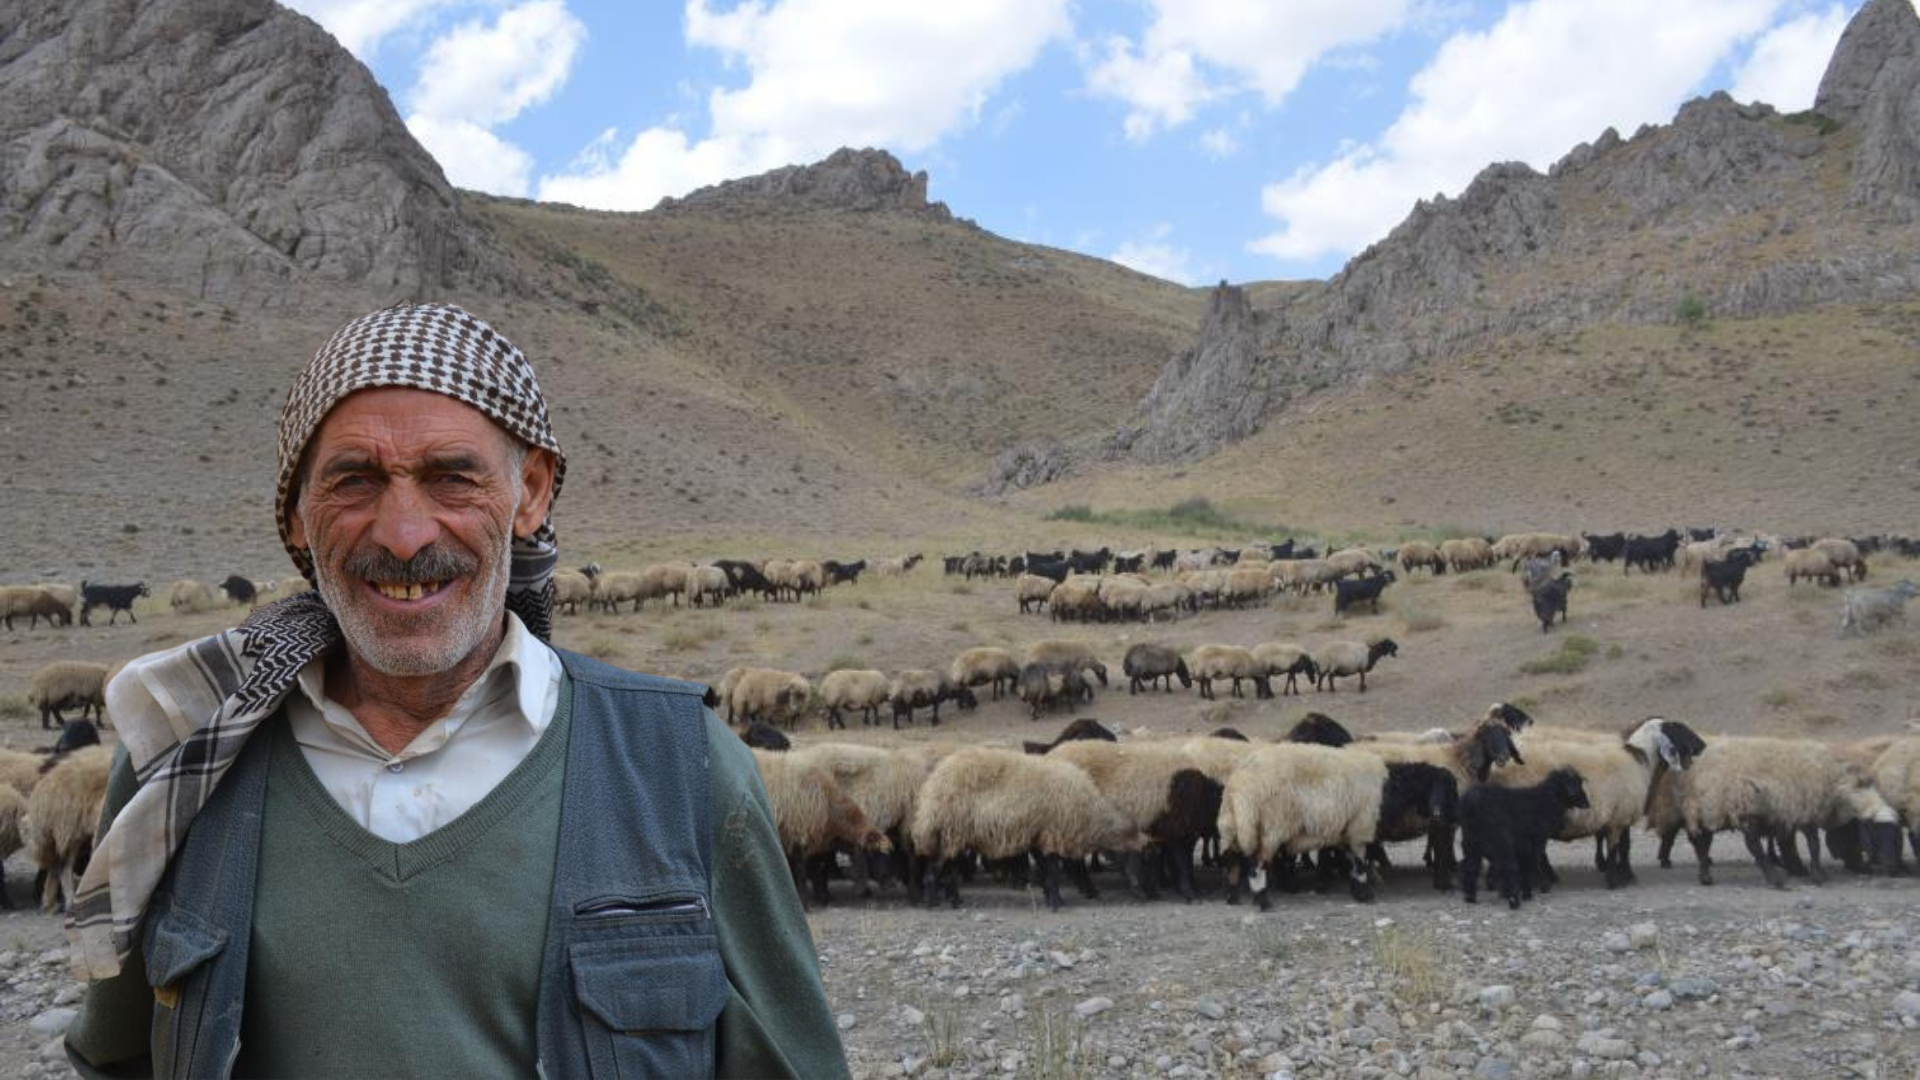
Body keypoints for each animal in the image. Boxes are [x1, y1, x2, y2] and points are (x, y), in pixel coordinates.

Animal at [752, 745, 894, 903]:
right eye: (875, 853)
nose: (892, 884)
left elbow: (816, 868)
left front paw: (821, 896)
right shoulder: (797, 837)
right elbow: (799, 871)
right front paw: (804, 899)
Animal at [910, 749, 1136, 907]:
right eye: (1136, 856)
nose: (1139, 892)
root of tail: (932, 789)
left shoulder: (1039, 835)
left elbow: (1046, 871)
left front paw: (1050, 896)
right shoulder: (1052, 832)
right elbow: (1053, 871)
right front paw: (1057, 903)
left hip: (949, 834)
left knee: (942, 868)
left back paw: (948, 900)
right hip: (951, 829)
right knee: (939, 869)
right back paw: (939, 903)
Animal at [1213, 737, 1382, 899]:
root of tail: (1237, 788)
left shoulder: (1348, 830)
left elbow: (1354, 861)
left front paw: (1360, 891)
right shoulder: (1359, 826)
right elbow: (1359, 862)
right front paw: (1364, 893)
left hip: (1235, 826)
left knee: (1232, 859)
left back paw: (1232, 896)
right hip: (1270, 828)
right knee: (1257, 864)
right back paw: (1263, 900)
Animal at [1459, 764, 1597, 907]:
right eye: (1574, 785)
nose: (1587, 804)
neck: (1546, 800)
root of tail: (1473, 802)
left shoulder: (1523, 844)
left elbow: (1526, 865)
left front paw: (1525, 891)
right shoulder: (1537, 840)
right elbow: (1536, 862)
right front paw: (1538, 888)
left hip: (1470, 841)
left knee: (1471, 866)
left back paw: (1470, 898)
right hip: (1500, 839)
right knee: (1507, 866)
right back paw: (1514, 900)